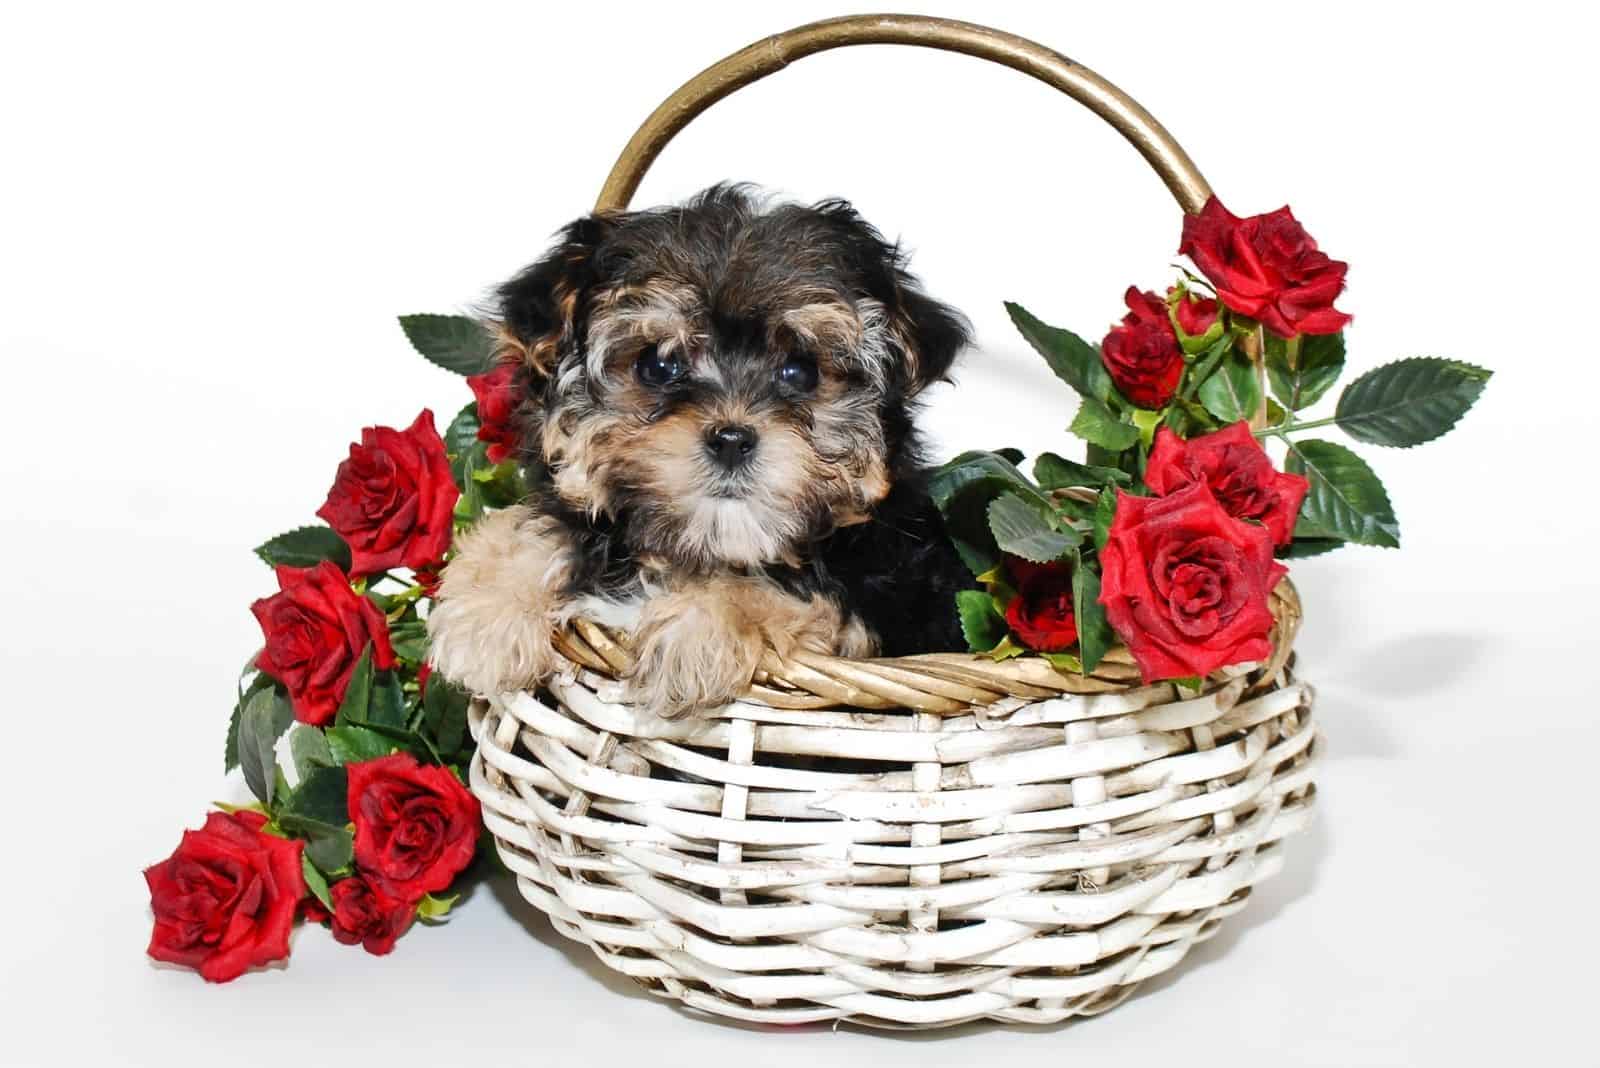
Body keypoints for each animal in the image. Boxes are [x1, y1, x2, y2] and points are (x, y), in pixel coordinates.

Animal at [428, 183, 972, 716]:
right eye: (657, 365)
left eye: (801, 371)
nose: (732, 439)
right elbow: (542, 525)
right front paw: (485, 616)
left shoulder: (884, 608)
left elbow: (800, 596)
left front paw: (696, 634)